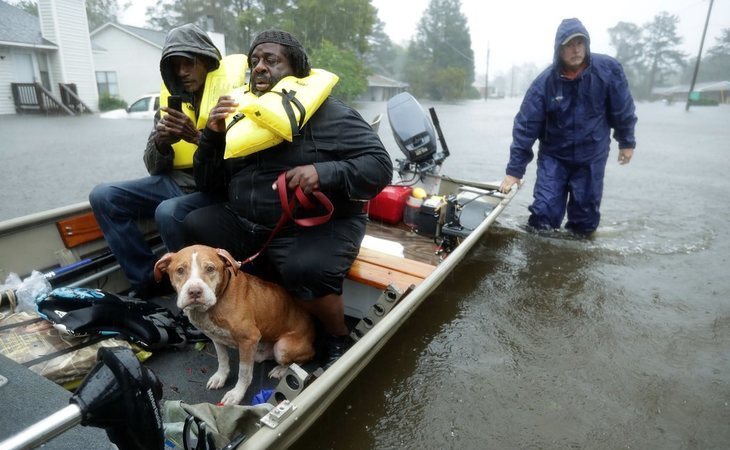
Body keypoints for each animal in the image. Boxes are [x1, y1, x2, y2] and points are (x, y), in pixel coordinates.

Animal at [152, 244, 314, 406]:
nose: (195, 292)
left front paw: (237, 394)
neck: (217, 302)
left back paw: (281, 370)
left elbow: (244, 373)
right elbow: (223, 360)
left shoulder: (248, 339)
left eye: (210, 268)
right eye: (180, 270)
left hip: (282, 347)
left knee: (302, 359)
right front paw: (220, 377)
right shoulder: (216, 338)